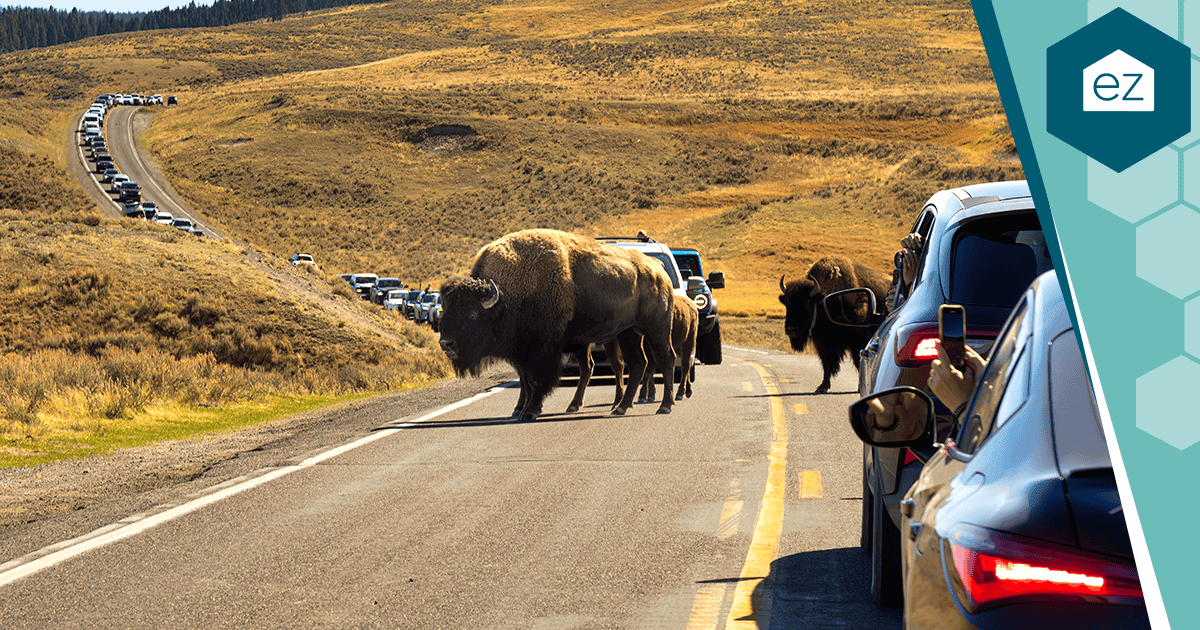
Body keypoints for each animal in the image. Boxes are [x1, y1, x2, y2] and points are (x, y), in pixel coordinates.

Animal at [438, 229, 677, 421]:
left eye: (472, 314)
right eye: (445, 311)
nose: (445, 343)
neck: (507, 297)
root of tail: (658, 269)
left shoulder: (541, 351)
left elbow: (537, 381)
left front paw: (530, 411)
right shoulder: (522, 354)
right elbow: (526, 381)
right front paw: (521, 409)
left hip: (657, 330)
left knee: (665, 359)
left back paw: (664, 406)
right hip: (629, 333)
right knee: (637, 364)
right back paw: (621, 407)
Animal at [779, 255, 890, 394]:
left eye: (807, 304)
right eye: (787, 304)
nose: (790, 329)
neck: (825, 300)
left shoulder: (857, 342)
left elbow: (858, 361)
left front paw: (860, 387)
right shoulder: (823, 344)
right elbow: (827, 365)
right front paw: (822, 387)